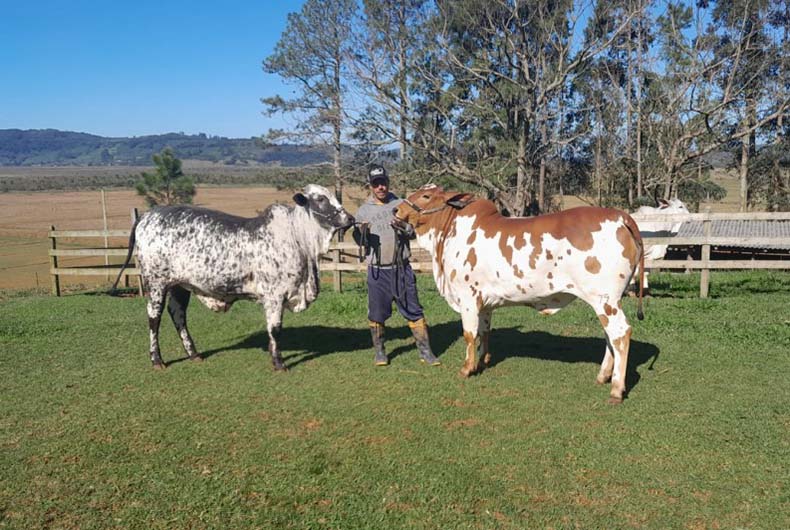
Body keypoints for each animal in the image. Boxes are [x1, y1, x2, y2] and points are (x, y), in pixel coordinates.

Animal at [113, 184, 354, 370]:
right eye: (321, 199)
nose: (349, 218)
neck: (298, 238)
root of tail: (148, 216)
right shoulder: (274, 296)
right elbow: (275, 329)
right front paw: (278, 363)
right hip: (156, 283)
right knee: (154, 318)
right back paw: (157, 360)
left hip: (179, 285)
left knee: (178, 315)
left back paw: (194, 354)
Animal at [392, 184, 648, 402]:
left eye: (426, 195)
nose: (396, 209)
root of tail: (622, 217)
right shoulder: (484, 302)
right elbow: (484, 332)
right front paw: (482, 361)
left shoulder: (467, 297)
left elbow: (469, 334)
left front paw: (466, 368)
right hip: (606, 301)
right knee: (610, 336)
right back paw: (603, 376)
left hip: (605, 299)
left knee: (620, 333)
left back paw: (616, 388)